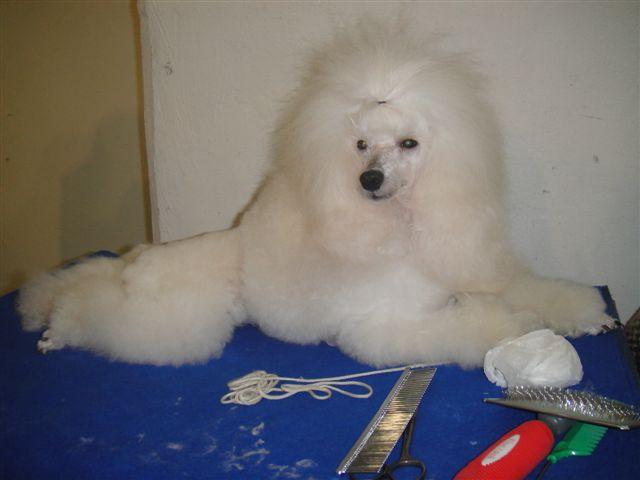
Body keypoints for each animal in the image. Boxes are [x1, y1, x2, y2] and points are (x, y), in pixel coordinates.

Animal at [18, 21, 613, 368]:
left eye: (409, 143)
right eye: (360, 144)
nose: (368, 180)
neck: (400, 234)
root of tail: (138, 260)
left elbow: (524, 289)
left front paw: (586, 315)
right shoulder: (381, 330)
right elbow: (473, 324)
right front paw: (518, 327)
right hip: (179, 319)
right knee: (102, 310)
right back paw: (59, 326)